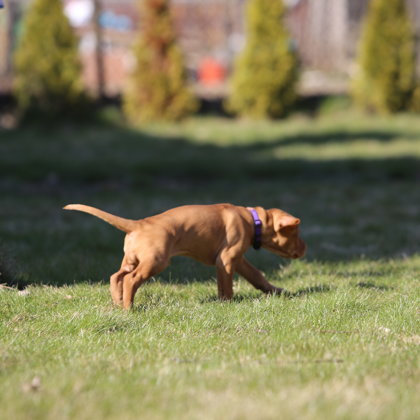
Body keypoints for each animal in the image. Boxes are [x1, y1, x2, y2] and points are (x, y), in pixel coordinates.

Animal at [64, 203, 306, 309]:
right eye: (296, 232)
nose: (305, 249)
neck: (252, 219)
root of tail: (138, 224)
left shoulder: (235, 260)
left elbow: (256, 276)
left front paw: (276, 291)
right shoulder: (227, 259)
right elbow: (226, 286)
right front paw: (227, 304)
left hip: (132, 259)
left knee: (116, 277)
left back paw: (118, 302)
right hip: (155, 261)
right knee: (131, 280)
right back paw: (129, 307)